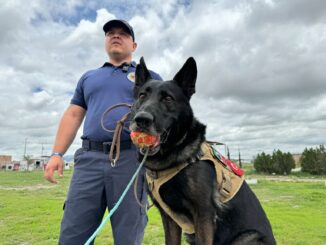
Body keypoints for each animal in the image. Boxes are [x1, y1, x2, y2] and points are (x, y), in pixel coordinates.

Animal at [129, 56, 276, 244]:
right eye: (142, 95)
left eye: (168, 98)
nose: (141, 119)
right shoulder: (169, 219)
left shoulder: (204, 215)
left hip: (248, 238)